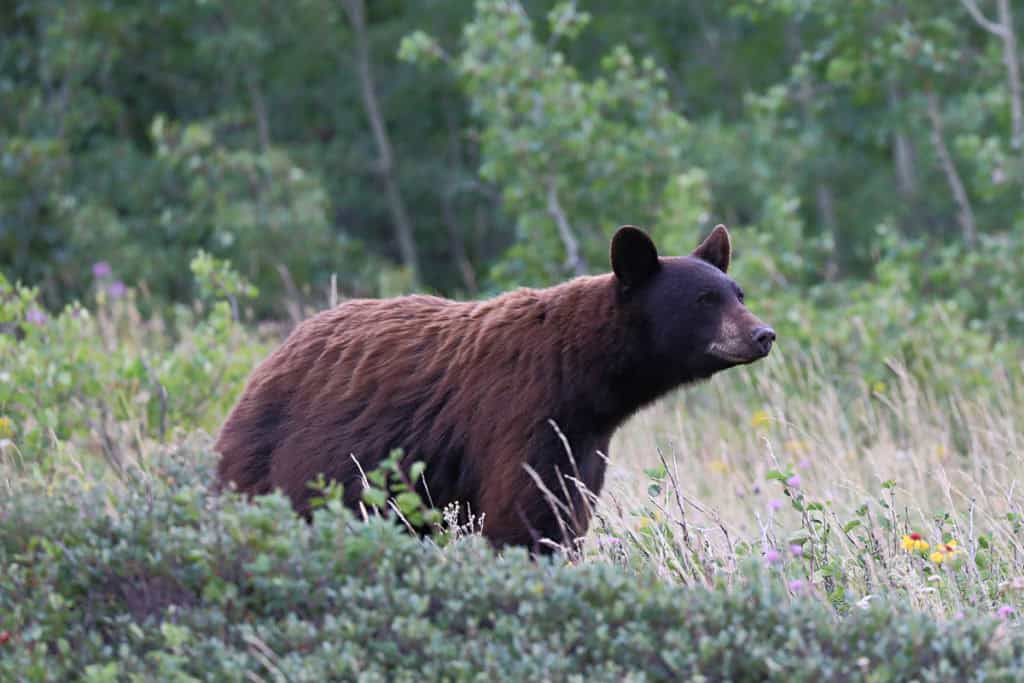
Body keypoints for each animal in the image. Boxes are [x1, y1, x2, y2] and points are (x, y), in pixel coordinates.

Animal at [214, 224, 775, 553]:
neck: (582, 379)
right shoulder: (519, 417)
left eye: (738, 293)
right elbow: (522, 519)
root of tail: (267, 364)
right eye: (704, 299)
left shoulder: (583, 444)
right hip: (279, 462)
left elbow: (566, 513)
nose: (763, 334)